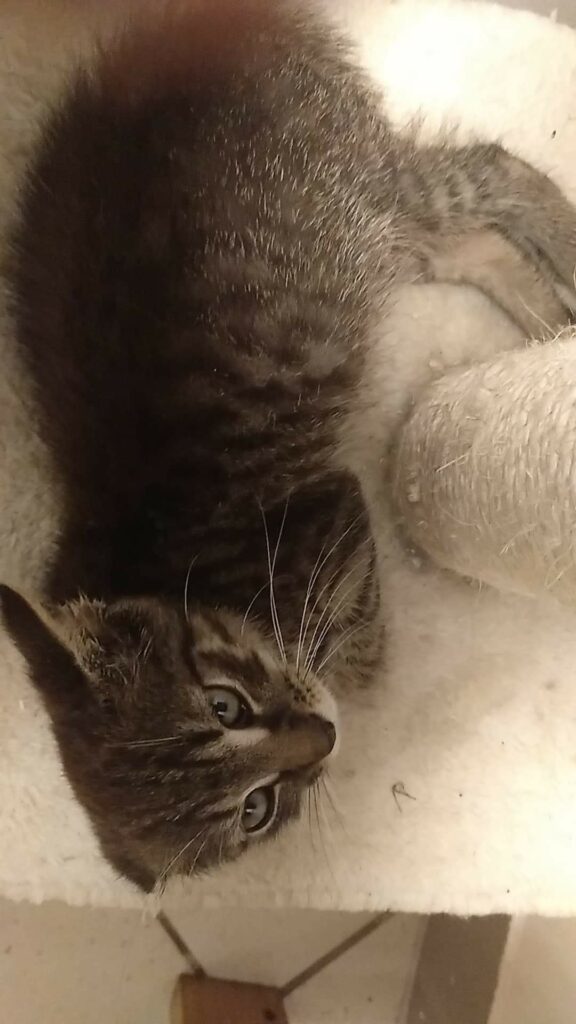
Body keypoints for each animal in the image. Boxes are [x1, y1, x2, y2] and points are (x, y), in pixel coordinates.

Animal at [2, 0, 575, 892]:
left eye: (224, 704)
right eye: (255, 809)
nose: (324, 740)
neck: (167, 580)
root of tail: (198, 30)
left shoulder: (336, 508)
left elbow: (363, 649)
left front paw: (353, 662)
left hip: (358, 192)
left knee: (484, 171)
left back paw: (564, 267)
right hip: (368, 240)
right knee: (462, 243)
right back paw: (549, 326)